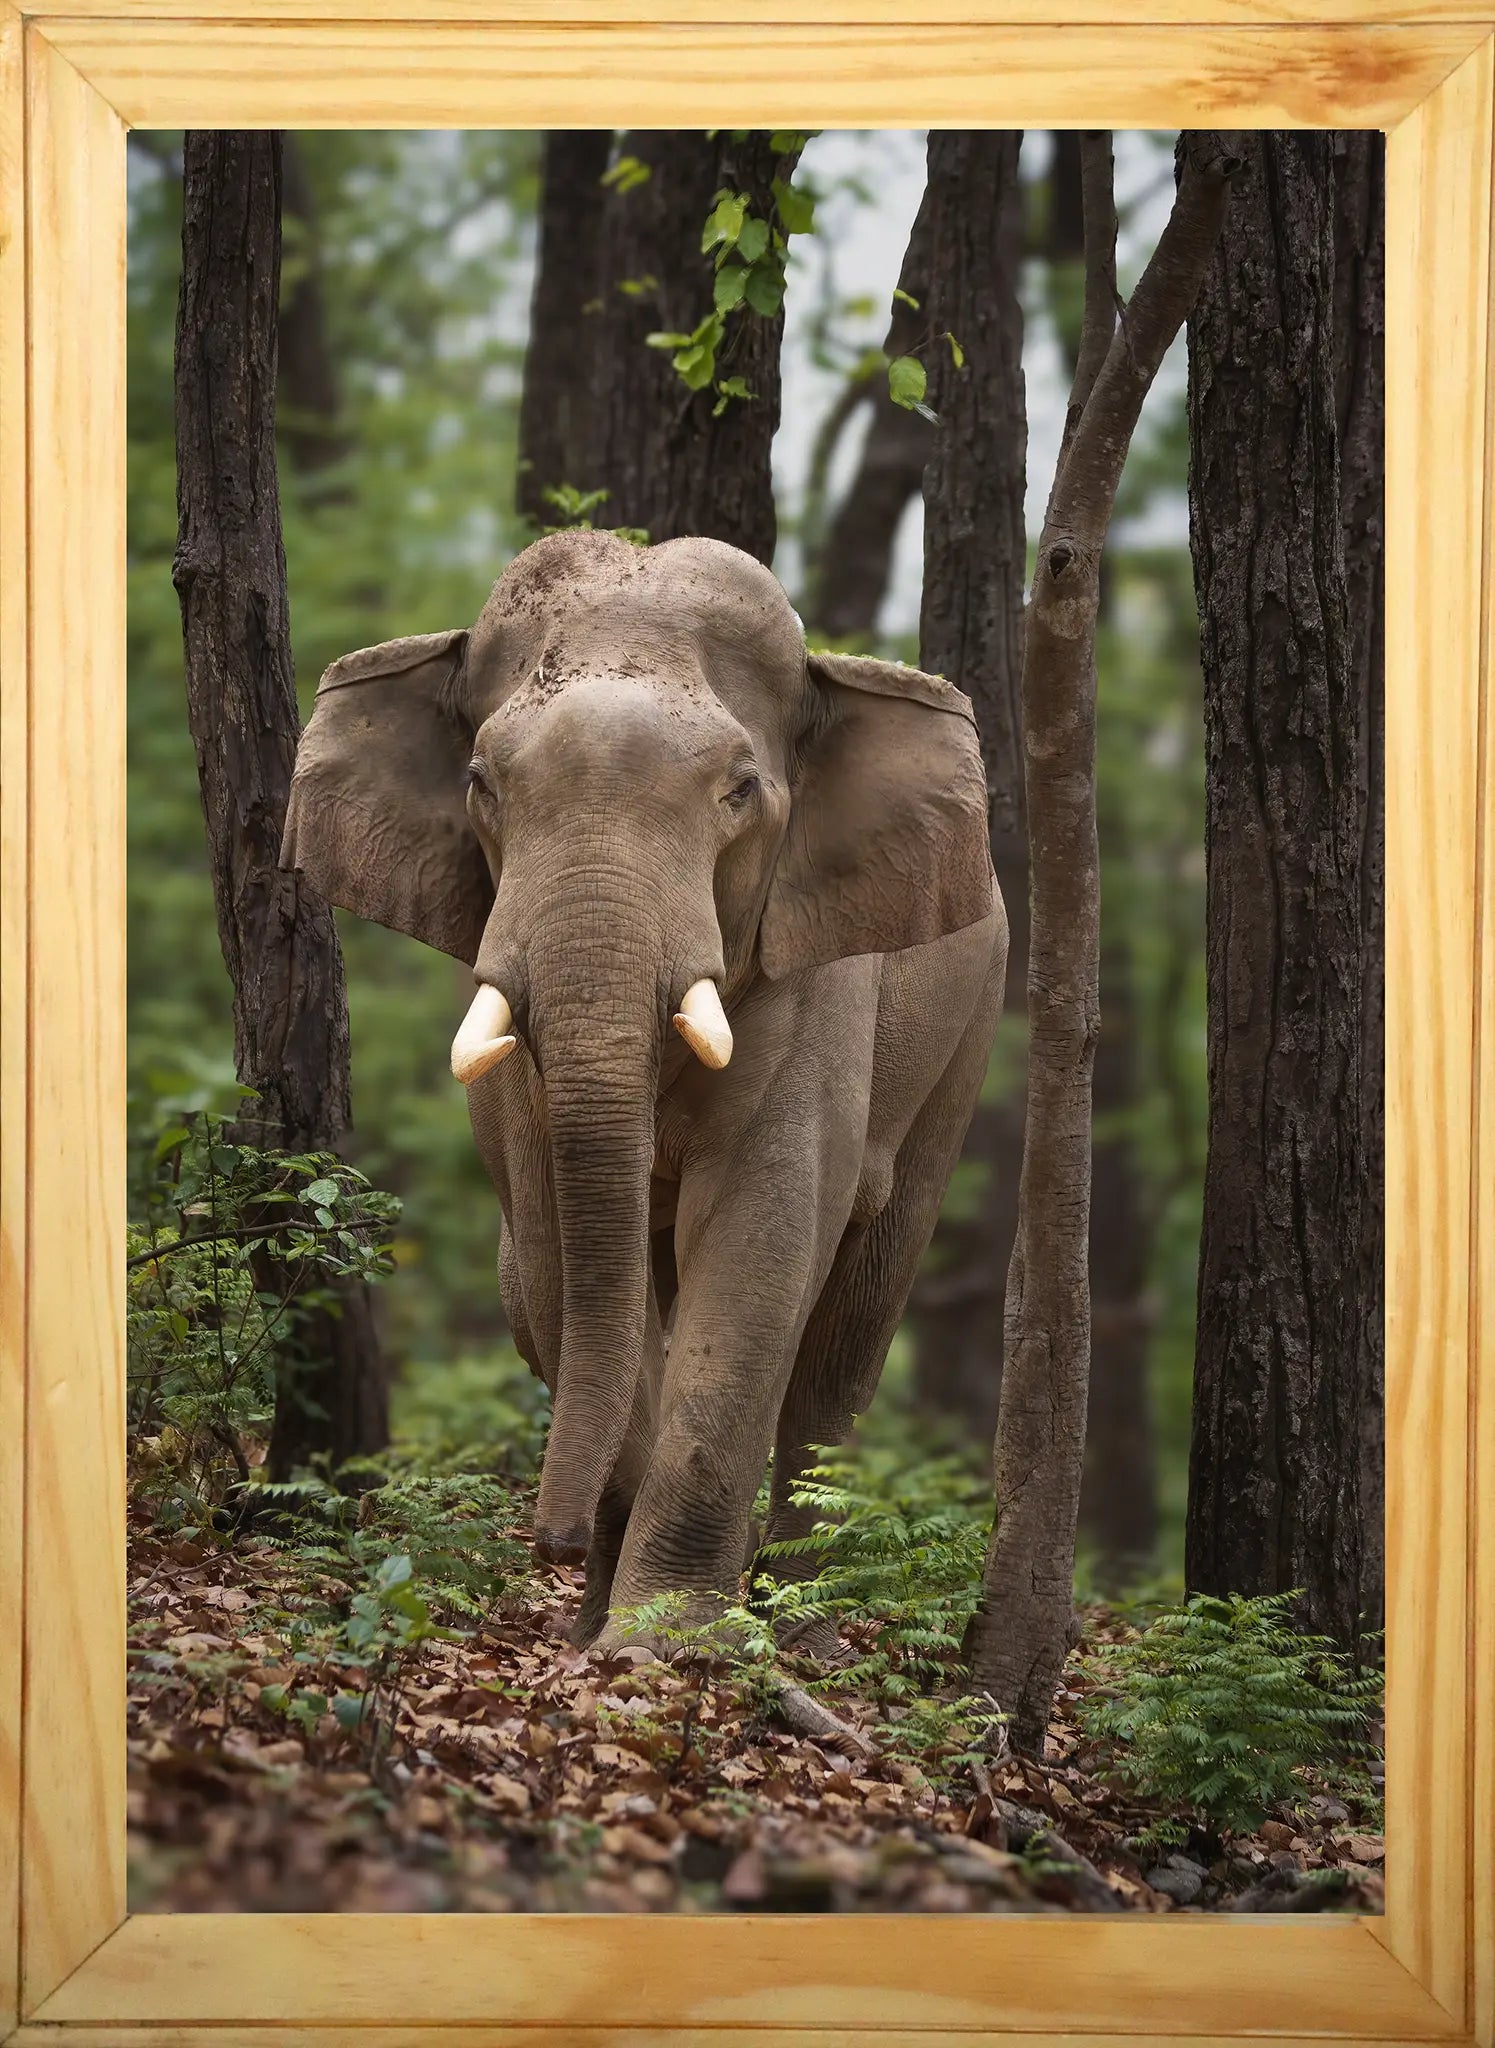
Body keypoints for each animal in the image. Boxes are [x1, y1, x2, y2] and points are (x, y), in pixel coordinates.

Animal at [281, 529, 1006, 1652]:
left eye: (740, 788)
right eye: (482, 781)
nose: (549, 1541)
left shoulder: (815, 982)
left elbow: (758, 1245)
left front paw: (666, 1646)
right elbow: (553, 1252)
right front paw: (608, 1635)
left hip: (964, 1036)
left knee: (850, 1331)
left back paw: (804, 1625)